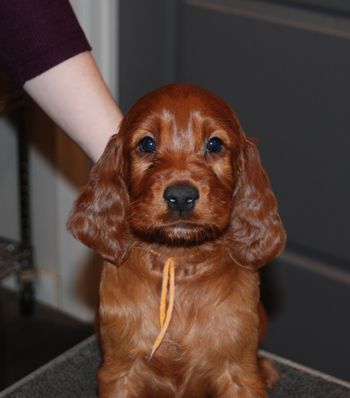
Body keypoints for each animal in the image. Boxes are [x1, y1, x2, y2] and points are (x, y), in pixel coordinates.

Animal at [67, 82, 284, 396]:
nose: (181, 196)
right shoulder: (120, 373)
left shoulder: (238, 374)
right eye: (147, 144)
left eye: (214, 145)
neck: (179, 259)